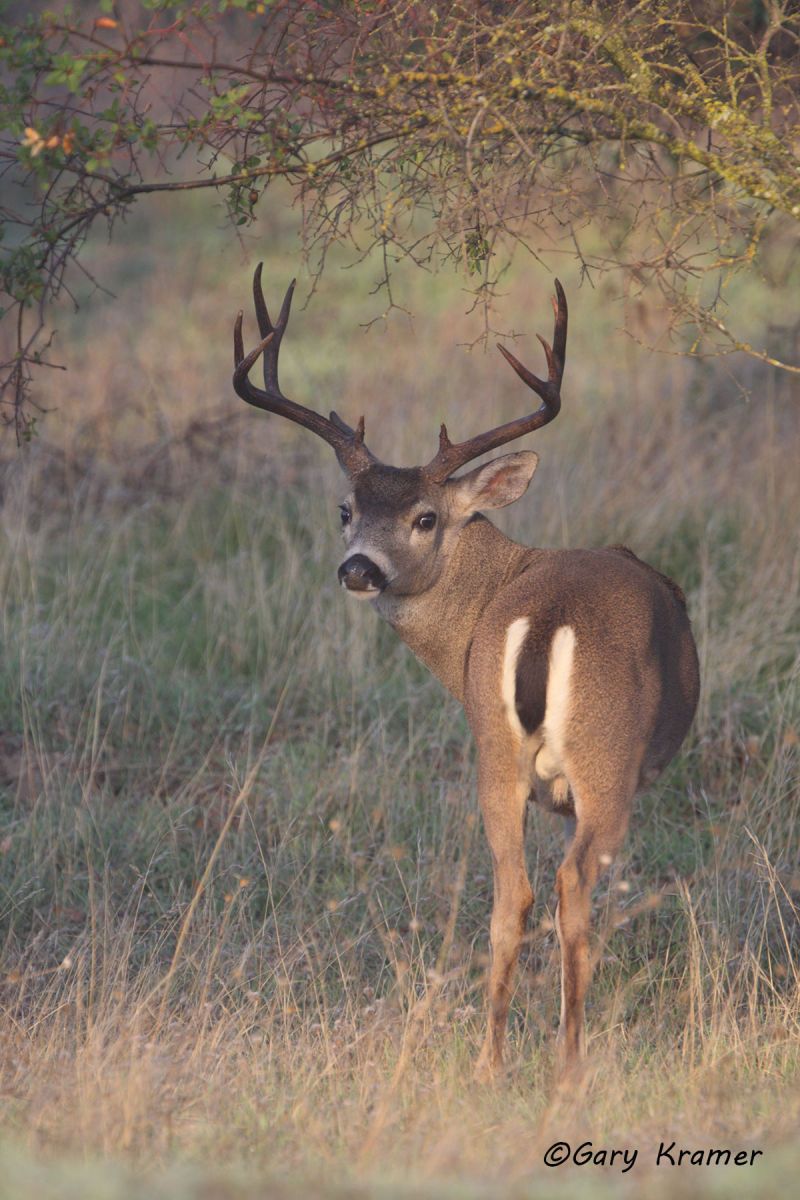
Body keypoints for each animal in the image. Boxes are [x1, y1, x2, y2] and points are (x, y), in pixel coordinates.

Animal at [231, 264, 700, 1081]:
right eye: (346, 510)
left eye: (424, 517)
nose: (358, 569)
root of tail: (548, 618)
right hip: (605, 753)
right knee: (568, 887)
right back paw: (567, 1066)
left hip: (493, 751)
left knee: (511, 892)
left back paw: (489, 1062)